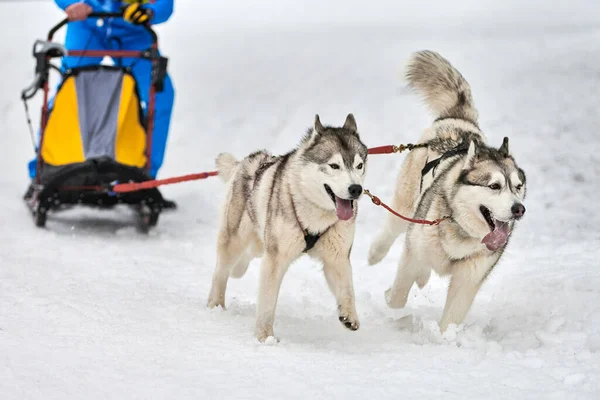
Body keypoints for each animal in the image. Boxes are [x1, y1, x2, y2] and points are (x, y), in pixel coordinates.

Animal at [209, 114, 368, 342]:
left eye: (359, 165)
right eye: (334, 166)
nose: (356, 189)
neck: (316, 215)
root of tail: (244, 163)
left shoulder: (337, 257)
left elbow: (347, 289)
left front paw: (349, 315)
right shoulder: (275, 258)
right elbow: (267, 304)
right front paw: (264, 337)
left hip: (259, 243)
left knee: (243, 261)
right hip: (234, 241)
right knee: (220, 273)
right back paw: (215, 305)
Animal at [368, 50, 528, 332]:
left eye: (518, 187)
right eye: (494, 186)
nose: (519, 209)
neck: (461, 232)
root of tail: (460, 120)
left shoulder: (469, 276)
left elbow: (452, 317)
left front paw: (444, 338)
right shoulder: (414, 251)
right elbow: (397, 296)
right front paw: (393, 304)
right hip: (406, 204)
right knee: (394, 228)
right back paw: (376, 253)